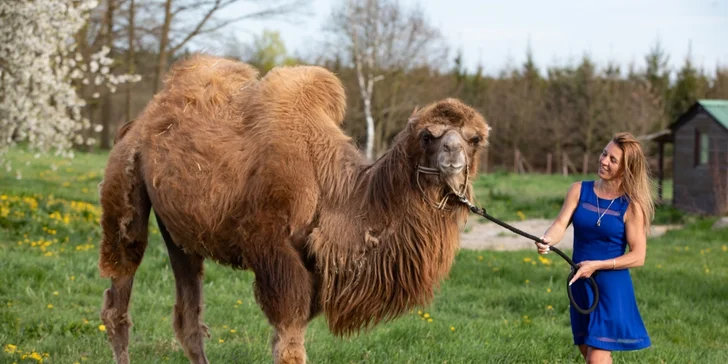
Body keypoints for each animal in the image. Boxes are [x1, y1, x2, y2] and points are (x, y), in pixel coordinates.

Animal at [98, 54, 490, 364]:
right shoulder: (273, 248)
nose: (452, 155)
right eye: (428, 135)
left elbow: (284, 340)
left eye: (474, 139)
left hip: (181, 231)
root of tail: (138, 122)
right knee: (119, 294)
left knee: (187, 317)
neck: (335, 191)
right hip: (125, 187)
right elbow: (288, 341)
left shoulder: (314, 270)